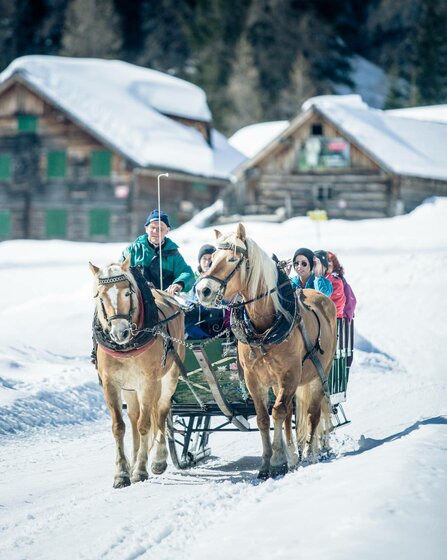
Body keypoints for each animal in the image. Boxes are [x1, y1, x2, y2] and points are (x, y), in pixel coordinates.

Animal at [89, 256, 184, 488]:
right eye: (100, 296)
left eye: (127, 293)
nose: (119, 332)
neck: (127, 347)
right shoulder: (110, 383)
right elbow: (119, 426)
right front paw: (122, 473)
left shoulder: (149, 381)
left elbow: (145, 424)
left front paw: (141, 469)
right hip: (130, 388)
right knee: (133, 417)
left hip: (168, 378)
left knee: (161, 413)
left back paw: (158, 459)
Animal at [195, 225, 336, 480]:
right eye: (212, 259)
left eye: (232, 259)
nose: (203, 290)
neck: (264, 329)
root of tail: (318, 294)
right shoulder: (254, 379)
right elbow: (263, 417)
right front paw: (267, 463)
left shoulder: (289, 376)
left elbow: (277, 412)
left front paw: (279, 461)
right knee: (290, 412)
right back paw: (294, 455)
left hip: (317, 376)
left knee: (313, 414)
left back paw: (310, 453)